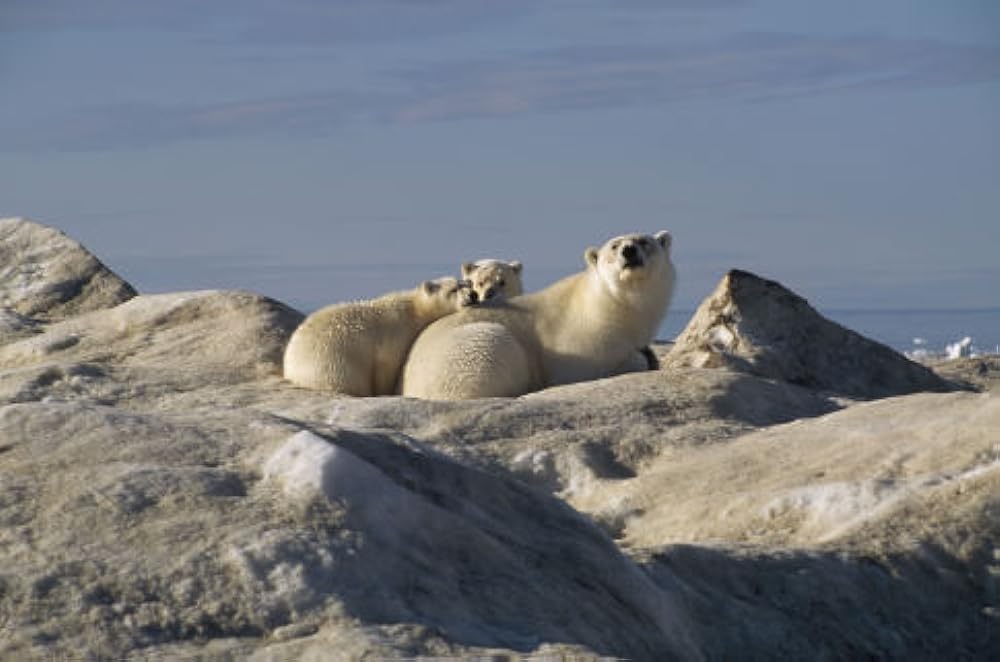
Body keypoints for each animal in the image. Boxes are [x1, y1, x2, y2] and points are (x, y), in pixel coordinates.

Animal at [396, 231, 672, 402]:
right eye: (614, 246)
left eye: (644, 241)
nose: (629, 251)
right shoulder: (578, 341)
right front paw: (641, 358)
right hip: (471, 352)